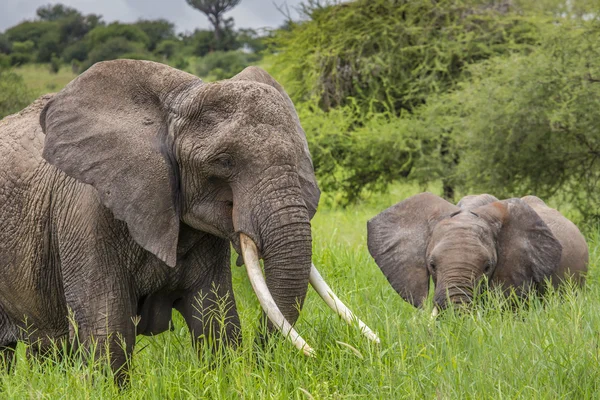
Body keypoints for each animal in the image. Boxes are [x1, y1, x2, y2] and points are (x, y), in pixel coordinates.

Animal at [0, 61, 378, 382]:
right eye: (224, 161)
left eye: (301, 158)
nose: (261, 360)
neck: (175, 103)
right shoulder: (86, 211)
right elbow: (108, 326)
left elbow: (215, 317)